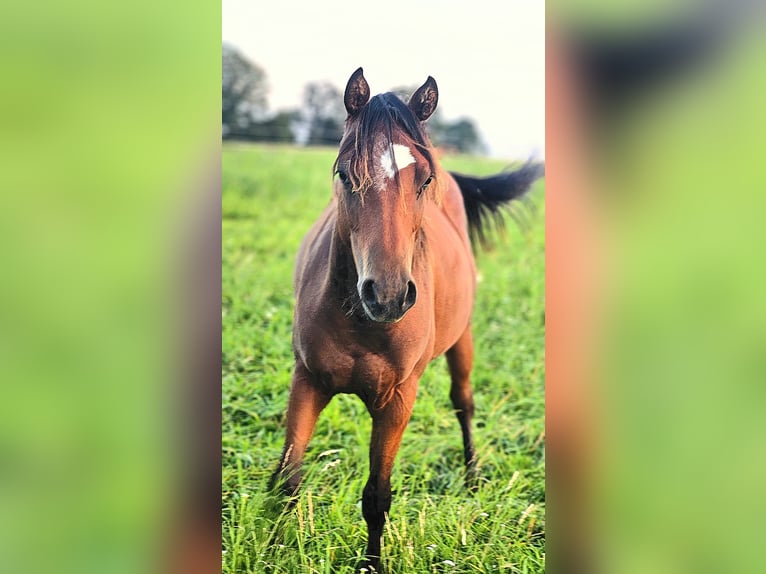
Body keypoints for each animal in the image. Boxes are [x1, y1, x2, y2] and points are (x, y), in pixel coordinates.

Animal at [272, 67, 544, 572]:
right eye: (344, 173)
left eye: (424, 180)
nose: (389, 295)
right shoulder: (307, 381)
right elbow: (287, 479)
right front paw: (277, 547)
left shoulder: (397, 400)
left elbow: (377, 496)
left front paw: (371, 563)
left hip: (463, 340)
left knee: (463, 402)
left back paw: (473, 476)